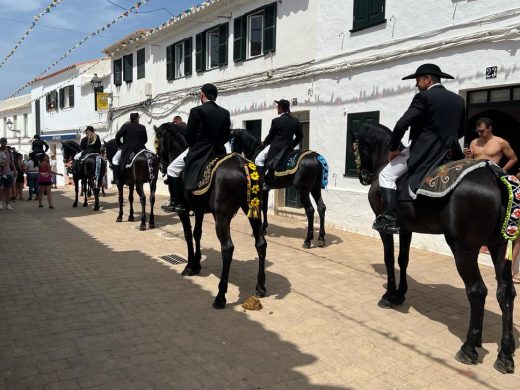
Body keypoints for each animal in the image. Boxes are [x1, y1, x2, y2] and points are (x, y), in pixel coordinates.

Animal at [153, 123, 268, 310]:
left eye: (157, 142)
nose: (162, 167)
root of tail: (242, 164)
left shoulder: (183, 211)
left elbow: (187, 235)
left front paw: (189, 266)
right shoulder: (199, 210)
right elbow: (197, 234)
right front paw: (197, 264)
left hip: (221, 217)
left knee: (227, 248)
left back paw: (221, 296)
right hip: (253, 211)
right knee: (261, 244)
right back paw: (260, 287)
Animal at [350, 123, 516, 374]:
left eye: (355, 146)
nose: (363, 176)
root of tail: (496, 177)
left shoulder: (385, 228)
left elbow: (389, 259)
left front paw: (389, 296)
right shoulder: (406, 229)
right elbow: (403, 260)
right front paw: (400, 294)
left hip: (464, 249)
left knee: (477, 291)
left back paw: (469, 347)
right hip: (500, 247)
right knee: (505, 293)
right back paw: (504, 354)